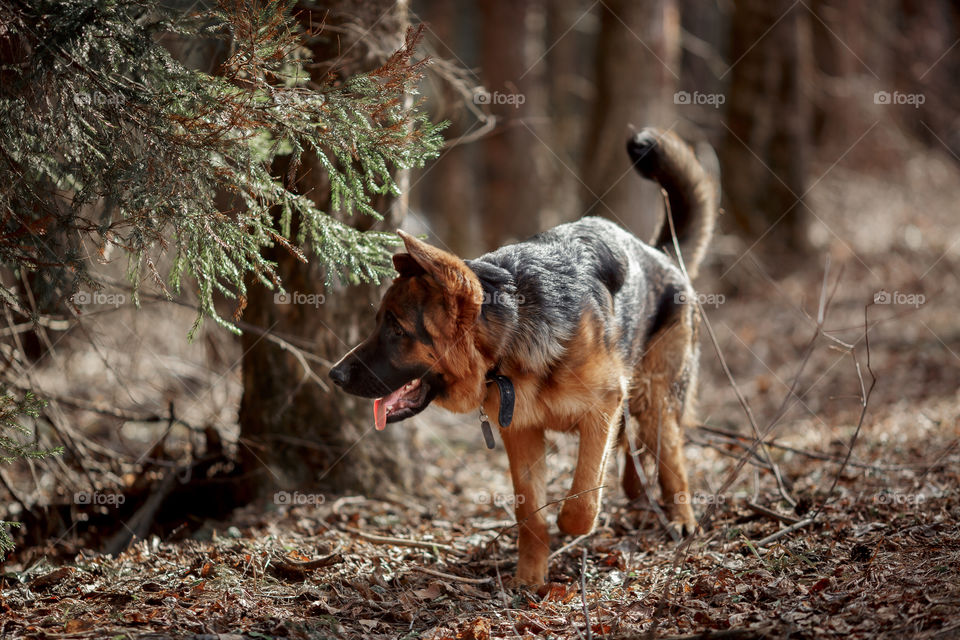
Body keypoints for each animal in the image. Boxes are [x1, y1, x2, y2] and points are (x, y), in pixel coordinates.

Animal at [330, 127, 712, 588]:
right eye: (377, 324)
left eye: (397, 330)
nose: (334, 375)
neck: (510, 341)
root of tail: (661, 254)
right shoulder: (523, 432)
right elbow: (529, 512)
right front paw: (530, 577)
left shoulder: (601, 409)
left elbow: (583, 495)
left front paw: (572, 525)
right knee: (636, 445)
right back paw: (636, 493)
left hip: (655, 396)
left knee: (670, 451)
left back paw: (681, 517)